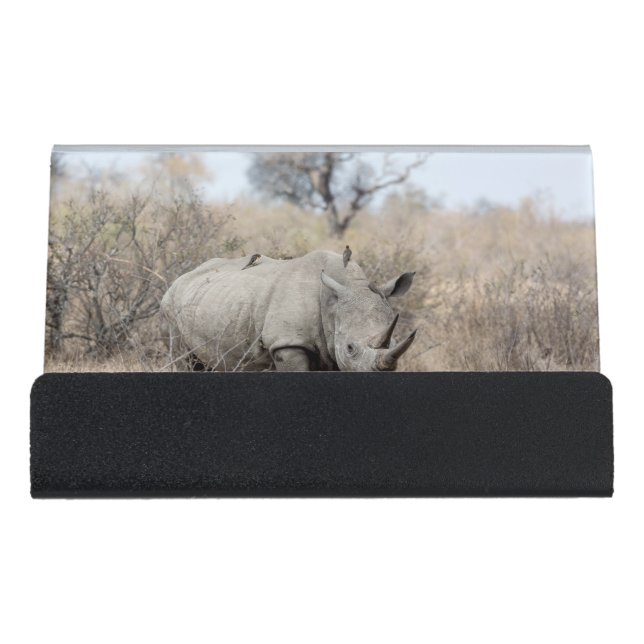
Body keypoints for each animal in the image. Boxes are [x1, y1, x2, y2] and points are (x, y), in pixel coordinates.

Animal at [160, 250, 417, 372]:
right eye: (350, 348)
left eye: (395, 342)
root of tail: (180, 278)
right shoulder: (287, 342)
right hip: (169, 308)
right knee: (184, 359)